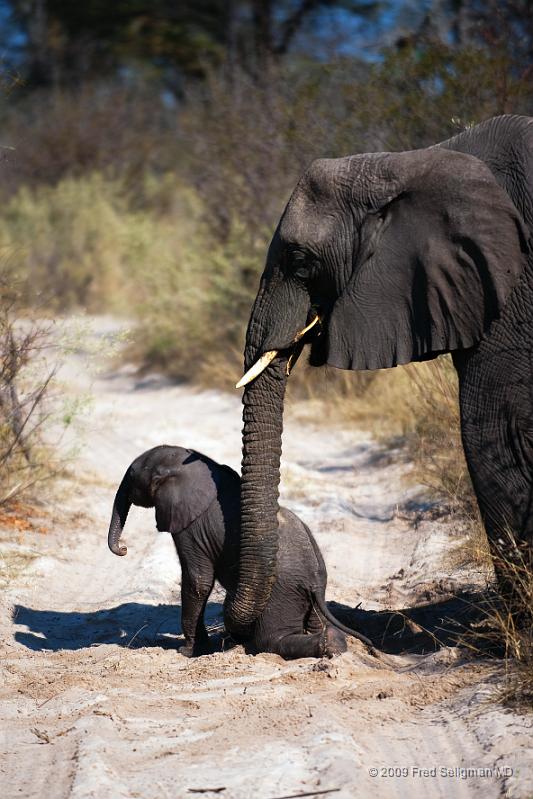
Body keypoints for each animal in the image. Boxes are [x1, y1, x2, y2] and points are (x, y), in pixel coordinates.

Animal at [106, 446, 368, 660]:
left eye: (131, 476)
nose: (124, 549)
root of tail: (315, 582)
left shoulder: (191, 527)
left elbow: (198, 581)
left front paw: (188, 652)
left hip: (281, 593)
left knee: (272, 639)